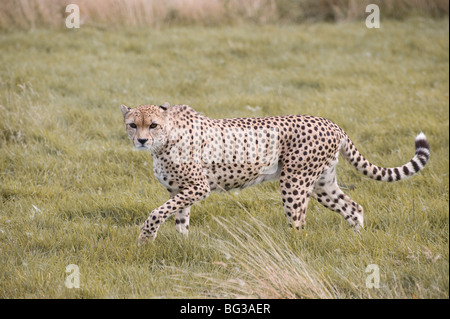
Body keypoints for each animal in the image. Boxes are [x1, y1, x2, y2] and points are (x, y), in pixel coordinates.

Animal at [121, 104, 430, 244]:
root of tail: (331, 123)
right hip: (322, 184)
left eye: (153, 125)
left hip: (294, 181)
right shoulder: (180, 190)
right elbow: (179, 217)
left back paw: (291, 249)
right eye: (133, 125)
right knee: (353, 207)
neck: (165, 141)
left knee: (299, 222)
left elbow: (157, 212)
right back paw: (357, 239)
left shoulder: (198, 187)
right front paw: (183, 244)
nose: (142, 140)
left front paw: (145, 238)